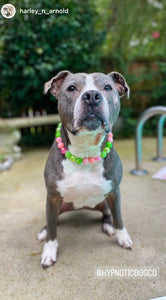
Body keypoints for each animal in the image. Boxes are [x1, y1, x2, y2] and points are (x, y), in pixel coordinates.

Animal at [37, 71, 132, 270]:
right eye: (71, 88)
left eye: (107, 87)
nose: (92, 96)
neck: (85, 151)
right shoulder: (53, 197)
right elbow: (52, 230)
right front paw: (49, 251)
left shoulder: (114, 192)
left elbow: (118, 217)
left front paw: (122, 236)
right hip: (54, 205)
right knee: (52, 221)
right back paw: (43, 231)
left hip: (104, 202)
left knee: (108, 214)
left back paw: (108, 226)